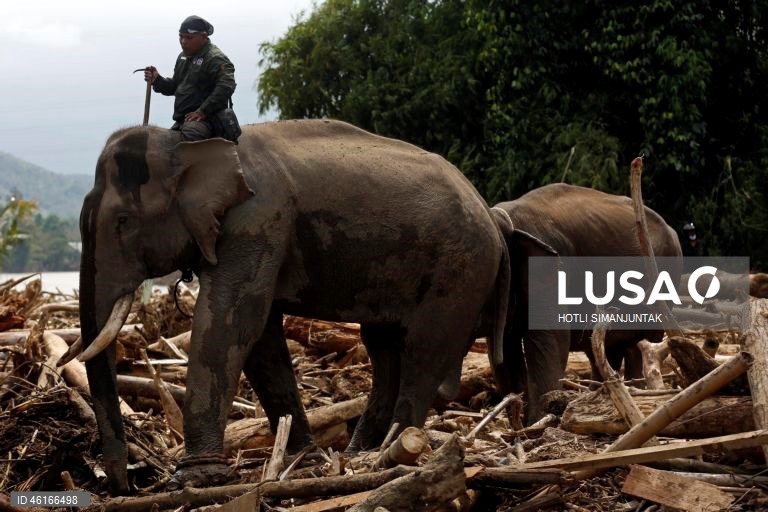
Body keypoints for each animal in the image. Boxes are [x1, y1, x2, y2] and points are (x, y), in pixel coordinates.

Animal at [76, 119, 514, 494]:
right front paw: (303, 461)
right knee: (385, 349)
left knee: (422, 350)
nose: (124, 485)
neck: (185, 143)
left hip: (460, 267)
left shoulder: (259, 219)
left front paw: (195, 479)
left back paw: (395, 450)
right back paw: (363, 452)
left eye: (123, 221)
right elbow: (260, 338)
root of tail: (489, 213)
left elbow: (232, 321)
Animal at [491, 183, 682, 421]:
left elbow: (552, 338)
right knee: (604, 348)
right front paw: (521, 419)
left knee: (642, 344)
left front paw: (541, 418)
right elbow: (506, 350)